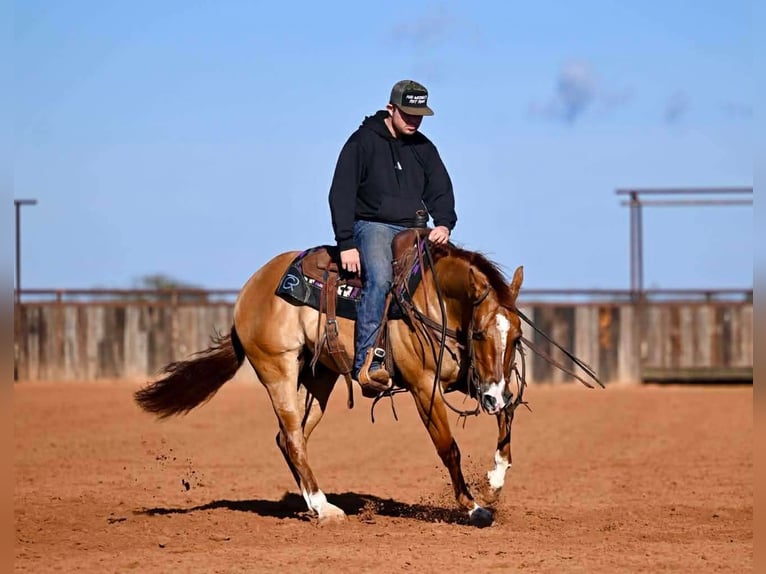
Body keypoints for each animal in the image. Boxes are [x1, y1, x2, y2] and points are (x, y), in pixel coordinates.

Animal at [134, 232, 584, 527]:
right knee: (292, 436)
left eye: (517, 337)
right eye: (479, 334)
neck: (432, 300)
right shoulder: (424, 386)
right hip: (279, 371)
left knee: (289, 438)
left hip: (321, 377)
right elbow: (449, 448)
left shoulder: (472, 378)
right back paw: (325, 508)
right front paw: (474, 508)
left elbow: (508, 418)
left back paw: (314, 505)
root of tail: (249, 291)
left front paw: (493, 481)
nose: (491, 397)